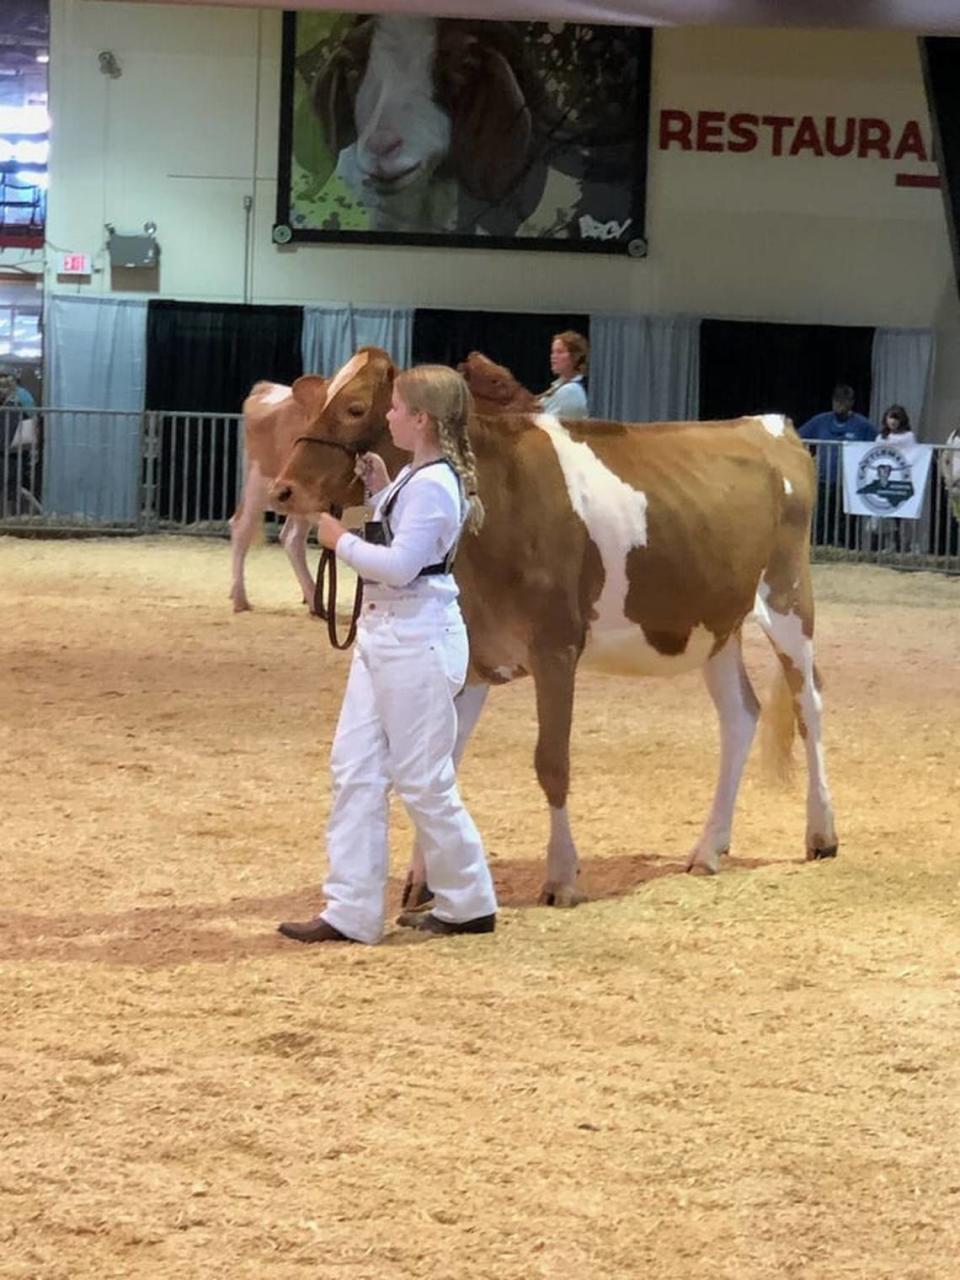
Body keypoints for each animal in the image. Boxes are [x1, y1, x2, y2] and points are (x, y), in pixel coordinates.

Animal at [267, 348, 839, 901]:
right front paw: (423, 880)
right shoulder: (475, 656)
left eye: (355, 408)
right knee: (740, 716)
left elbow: (552, 762)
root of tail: (767, 423)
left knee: (808, 705)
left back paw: (822, 833)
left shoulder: (556, 646)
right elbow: (440, 760)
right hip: (716, 624)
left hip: (788, 598)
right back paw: (709, 848)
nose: (283, 490)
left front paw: (561, 875)